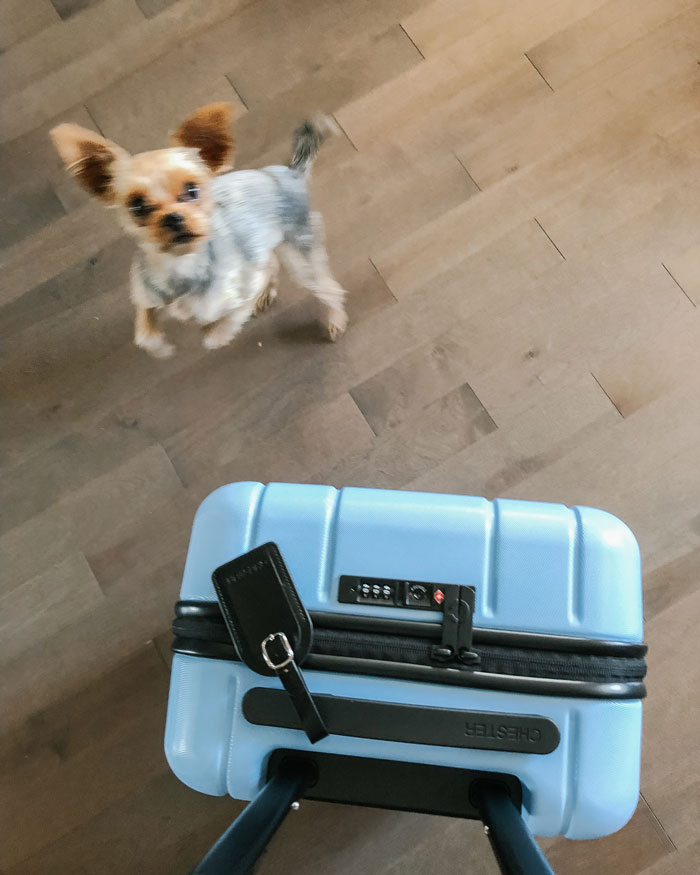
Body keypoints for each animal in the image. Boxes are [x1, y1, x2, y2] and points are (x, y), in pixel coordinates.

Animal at [49, 103, 348, 360]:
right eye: (137, 206)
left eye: (192, 189)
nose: (172, 218)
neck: (180, 264)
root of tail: (289, 173)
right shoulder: (146, 295)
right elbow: (144, 332)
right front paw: (160, 346)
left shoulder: (240, 293)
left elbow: (218, 329)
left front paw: (212, 333)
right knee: (271, 262)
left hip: (301, 253)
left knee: (327, 287)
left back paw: (334, 319)